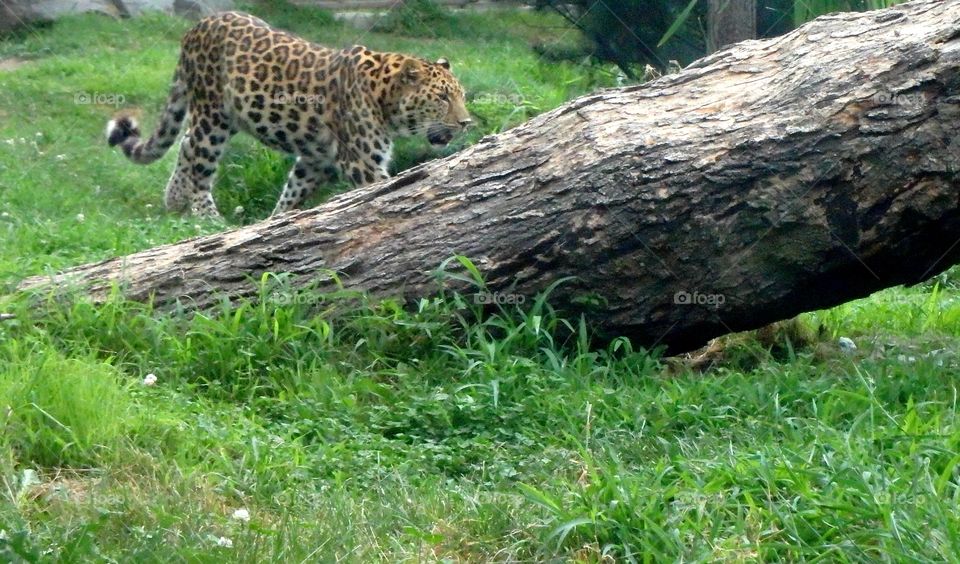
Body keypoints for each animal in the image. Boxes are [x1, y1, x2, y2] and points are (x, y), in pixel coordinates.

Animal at [106, 11, 471, 218]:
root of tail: (198, 25)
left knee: (186, 143)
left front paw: (273, 224)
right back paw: (207, 218)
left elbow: (292, 193)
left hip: (228, 116)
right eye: (442, 97)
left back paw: (174, 202)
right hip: (212, 114)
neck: (383, 95)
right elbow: (383, 190)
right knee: (200, 161)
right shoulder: (362, 163)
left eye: (462, 96)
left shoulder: (315, 159)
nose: (466, 123)